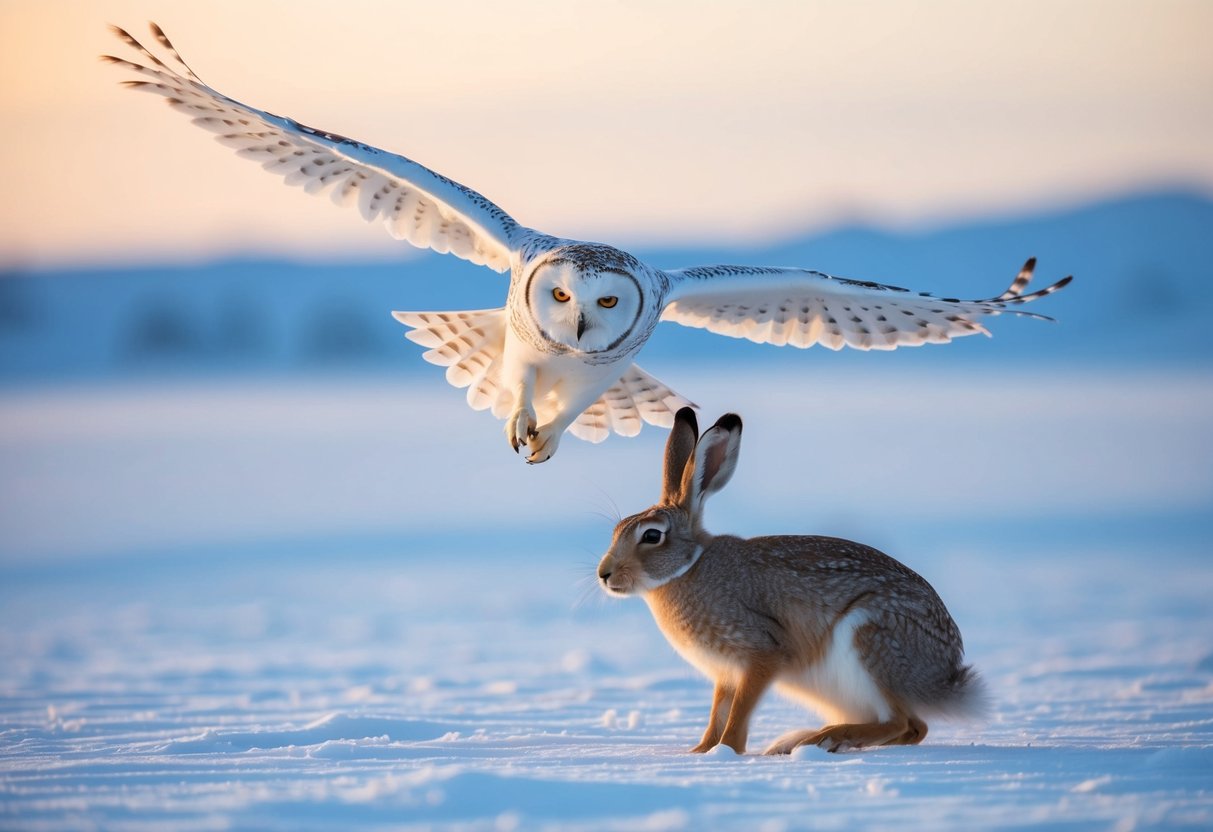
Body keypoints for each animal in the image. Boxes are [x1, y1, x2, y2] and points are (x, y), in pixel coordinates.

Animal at [596, 407, 985, 755]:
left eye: (651, 536)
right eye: (617, 530)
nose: (604, 574)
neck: (689, 567)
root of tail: (945, 676)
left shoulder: (762, 653)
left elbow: (738, 713)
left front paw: (726, 751)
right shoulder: (725, 673)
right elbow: (718, 712)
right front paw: (701, 751)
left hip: (871, 641)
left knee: (906, 724)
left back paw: (826, 740)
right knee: (910, 728)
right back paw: (802, 740)